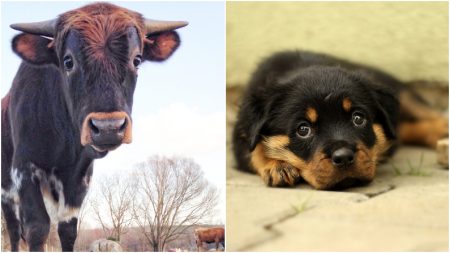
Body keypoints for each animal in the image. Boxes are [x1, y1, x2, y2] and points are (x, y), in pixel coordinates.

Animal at [0, 2, 186, 251]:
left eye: (137, 60)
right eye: (68, 61)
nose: (108, 127)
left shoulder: (79, 178)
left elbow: (68, 230)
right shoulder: (24, 169)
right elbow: (37, 227)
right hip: (7, 192)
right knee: (13, 229)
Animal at [234, 51, 448, 190]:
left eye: (358, 118)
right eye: (303, 129)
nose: (344, 157)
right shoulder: (242, 130)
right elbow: (253, 150)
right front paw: (277, 166)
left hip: (403, 95)